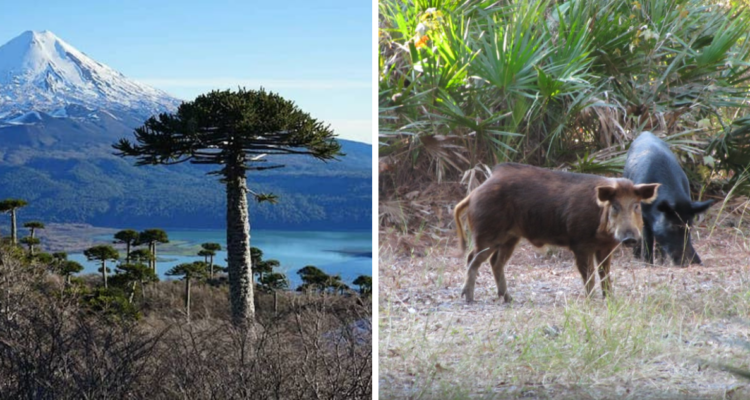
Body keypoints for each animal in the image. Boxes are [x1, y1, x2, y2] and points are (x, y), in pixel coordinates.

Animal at [624, 131, 716, 266]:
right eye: (672, 226)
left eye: (690, 225)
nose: (694, 262)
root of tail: (646, 133)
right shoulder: (644, 215)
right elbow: (647, 238)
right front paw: (648, 264)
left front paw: (661, 263)